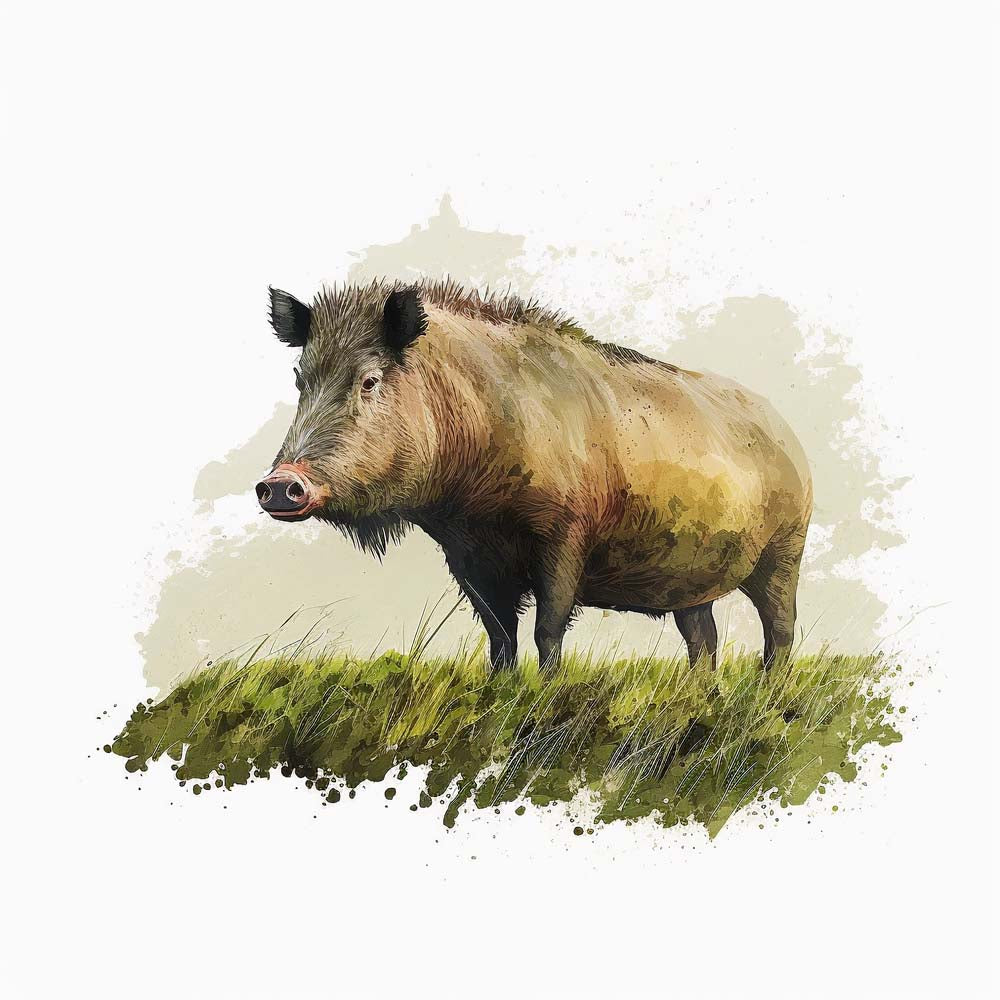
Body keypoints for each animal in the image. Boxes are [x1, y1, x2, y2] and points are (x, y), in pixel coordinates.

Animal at [257, 278, 812, 671]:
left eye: (370, 380)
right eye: (300, 380)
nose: (278, 485)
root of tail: (791, 439)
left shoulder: (565, 534)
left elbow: (548, 627)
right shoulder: (468, 556)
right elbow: (499, 636)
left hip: (785, 552)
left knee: (780, 632)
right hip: (693, 584)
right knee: (704, 641)